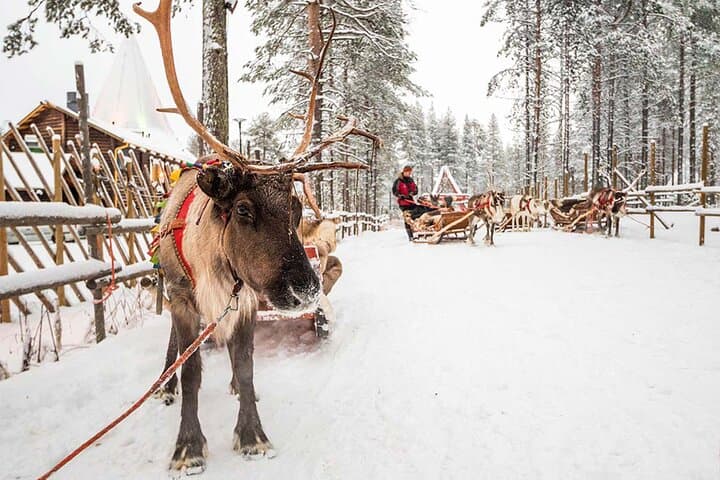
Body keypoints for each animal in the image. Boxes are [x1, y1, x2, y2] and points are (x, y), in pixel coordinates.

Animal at [134, 0, 378, 473]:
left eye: (298, 208)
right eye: (244, 209)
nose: (306, 290)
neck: (215, 269)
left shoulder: (245, 300)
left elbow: (246, 366)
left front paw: (252, 435)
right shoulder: (183, 298)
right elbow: (192, 371)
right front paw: (188, 447)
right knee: (177, 348)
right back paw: (165, 387)